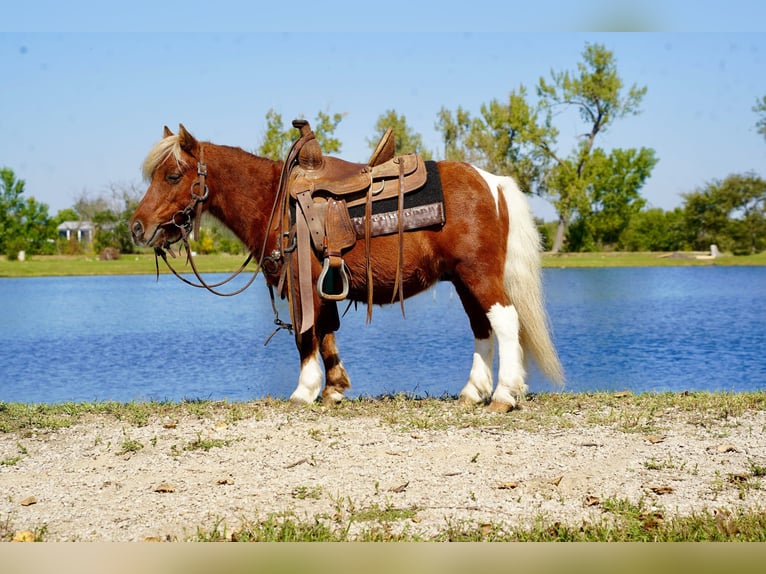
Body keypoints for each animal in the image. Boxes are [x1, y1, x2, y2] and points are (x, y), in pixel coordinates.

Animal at [130, 124, 564, 412]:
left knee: (505, 320)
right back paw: (474, 391)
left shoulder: (301, 282)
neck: (275, 199)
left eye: (172, 175)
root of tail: (491, 182)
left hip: (478, 274)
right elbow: (326, 332)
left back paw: (504, 394)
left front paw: (304, 390)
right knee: (482, 327)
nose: (137, 227)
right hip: (463, 278)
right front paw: (333, 388)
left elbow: (306, 335)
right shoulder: (321, 285)